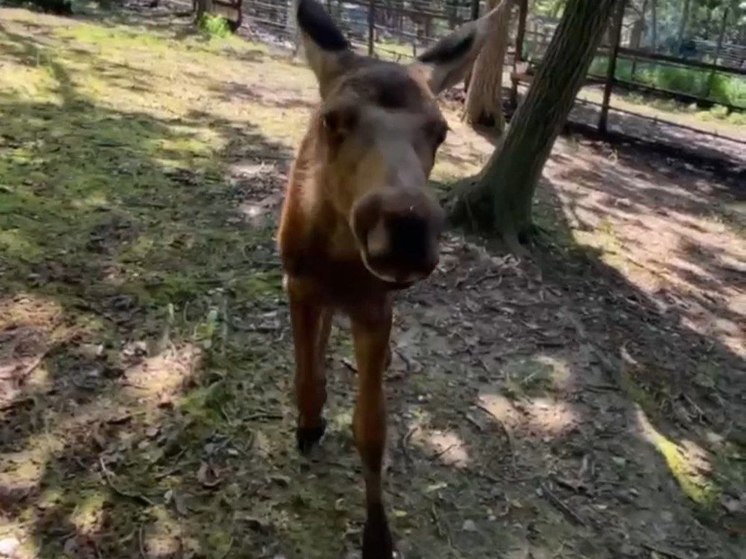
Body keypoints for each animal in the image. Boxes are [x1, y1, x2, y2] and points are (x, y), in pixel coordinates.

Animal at [276, 2, 496, 556]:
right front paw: (308, 424)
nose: (406, 230)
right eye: (331, 119)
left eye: (441, 130)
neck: (336, 263)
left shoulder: (377, 305)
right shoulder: (296, 280)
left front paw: (377, 535)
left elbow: (372, 427)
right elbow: (304, 375)